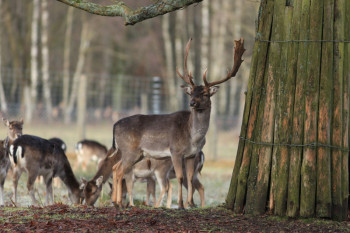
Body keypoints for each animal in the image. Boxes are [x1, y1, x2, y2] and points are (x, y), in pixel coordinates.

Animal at [110, 37, 245, 208]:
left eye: (205, 93)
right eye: (191, 92)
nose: (192, 103)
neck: (193, 137)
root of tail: (114, 125)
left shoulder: (191, 154)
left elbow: (189, 177)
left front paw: (190, 204)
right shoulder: (175, 150)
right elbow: (181, 177)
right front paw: (181, 204)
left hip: (137, 153)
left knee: (115, 168)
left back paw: (116, 202)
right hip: (130, 150)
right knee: (120, 170)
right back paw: (119, 203)